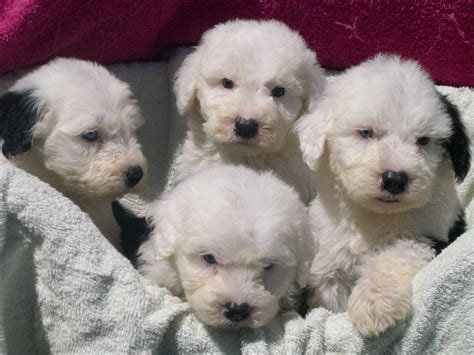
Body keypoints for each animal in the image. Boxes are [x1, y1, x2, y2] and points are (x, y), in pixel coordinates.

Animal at [296, 54, 470, 338]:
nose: (395, 179)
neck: (374, 215)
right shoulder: (330, 258)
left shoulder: (429, 235)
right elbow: (330, 298)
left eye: (423, 140)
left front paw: (374, 303)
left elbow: (396, 254)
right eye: (366, 133)